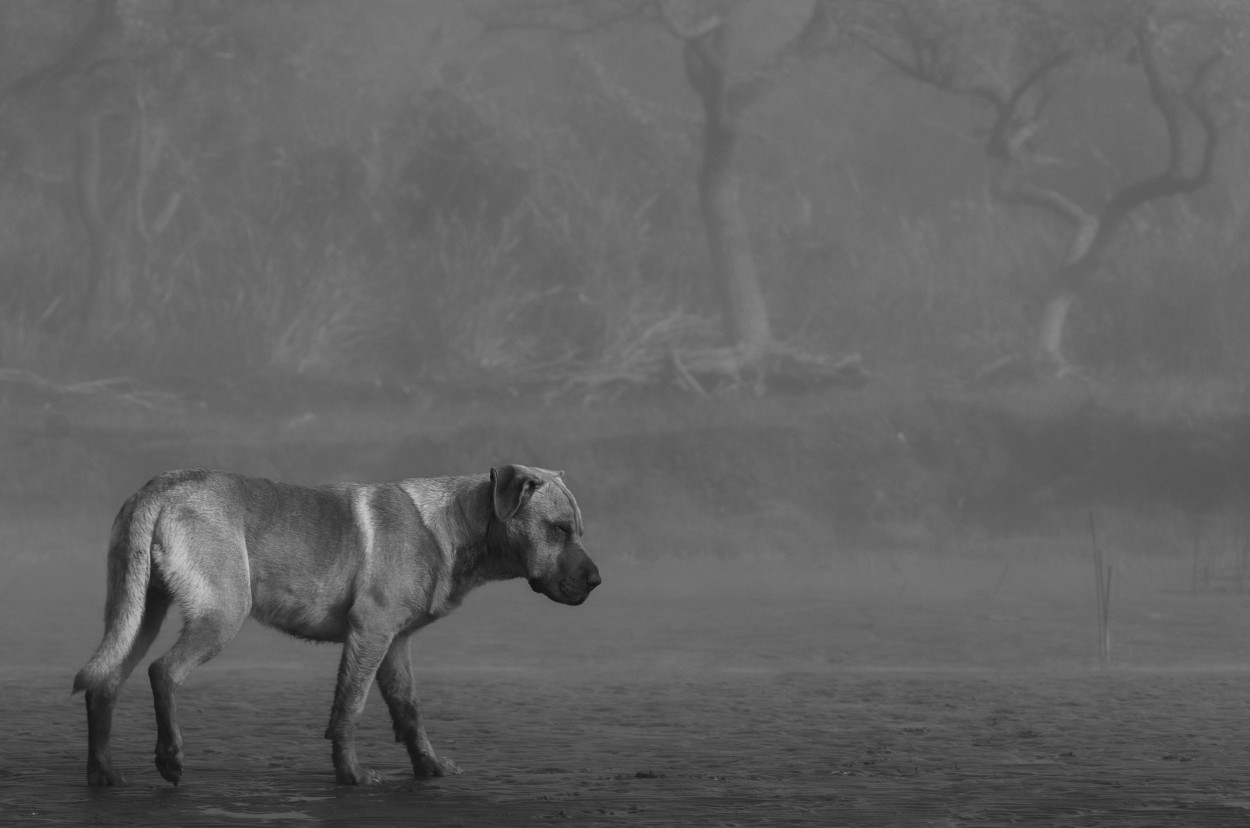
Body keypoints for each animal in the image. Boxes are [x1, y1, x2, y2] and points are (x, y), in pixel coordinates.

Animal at [71, 462, 600, 790]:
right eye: (558, 530)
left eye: (576, 530)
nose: (597, 581)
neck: (456, 526)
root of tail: (158, 487)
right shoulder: (370, 633)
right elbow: (349, 708)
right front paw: (351, 775)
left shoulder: (395, 644)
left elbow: (409, 710)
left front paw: (428, 766)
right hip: (221, 612)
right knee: (162, 672)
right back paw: (169, 757)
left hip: (138, 611)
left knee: (104, 683)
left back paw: (103, 774)